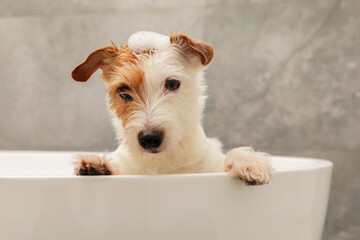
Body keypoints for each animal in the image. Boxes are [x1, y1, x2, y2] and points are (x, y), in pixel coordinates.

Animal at [71, 31, 272, 186]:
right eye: (123, 92)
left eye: (172, 83)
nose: (149, 138)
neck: (164, 162)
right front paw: (98, 165)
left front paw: (248, 163)